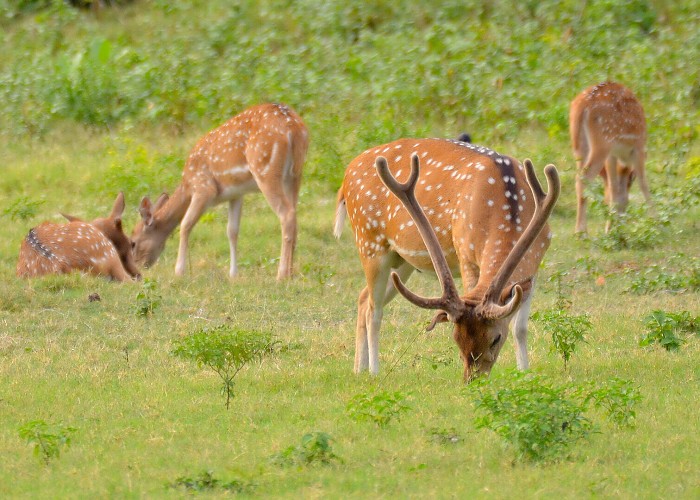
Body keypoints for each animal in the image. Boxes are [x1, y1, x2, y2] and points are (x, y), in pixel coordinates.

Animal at [131, 103, 306, 280]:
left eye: (133, 242)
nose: (136, 271)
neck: (187, 185)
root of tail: (292, 127)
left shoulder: (203, 188)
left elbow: (185, 224)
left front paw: (179, 271)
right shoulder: (236, 194)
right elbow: (232, 230)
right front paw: (233, 274)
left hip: (266, 169)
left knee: (286, 214)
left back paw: (281, 275)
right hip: (294, 175)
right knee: (294, 214)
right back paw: (291, 272)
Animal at [336, 139, 560, 380]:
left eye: (496, 339)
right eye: (456, 338)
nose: (473, 379)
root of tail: (346, 174)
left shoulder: (535, 263)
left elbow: (520, 328)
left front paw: (525, 372)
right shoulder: (466, 254)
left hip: (401, 262)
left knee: (363, 297)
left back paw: (358, 368)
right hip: (369, 242)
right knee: (373, 310)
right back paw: (374, 372)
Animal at [568, 82, 652, 234]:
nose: (622, 219)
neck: (623, 156)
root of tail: (583, 105)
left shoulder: (612, 156)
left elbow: (614, 189)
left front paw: (609, 230)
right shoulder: (638, 147)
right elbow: (643, 184)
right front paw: (657, 222)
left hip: (579, 145)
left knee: (579, 177)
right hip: (602, 142)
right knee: (584, 177)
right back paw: (581, 232)